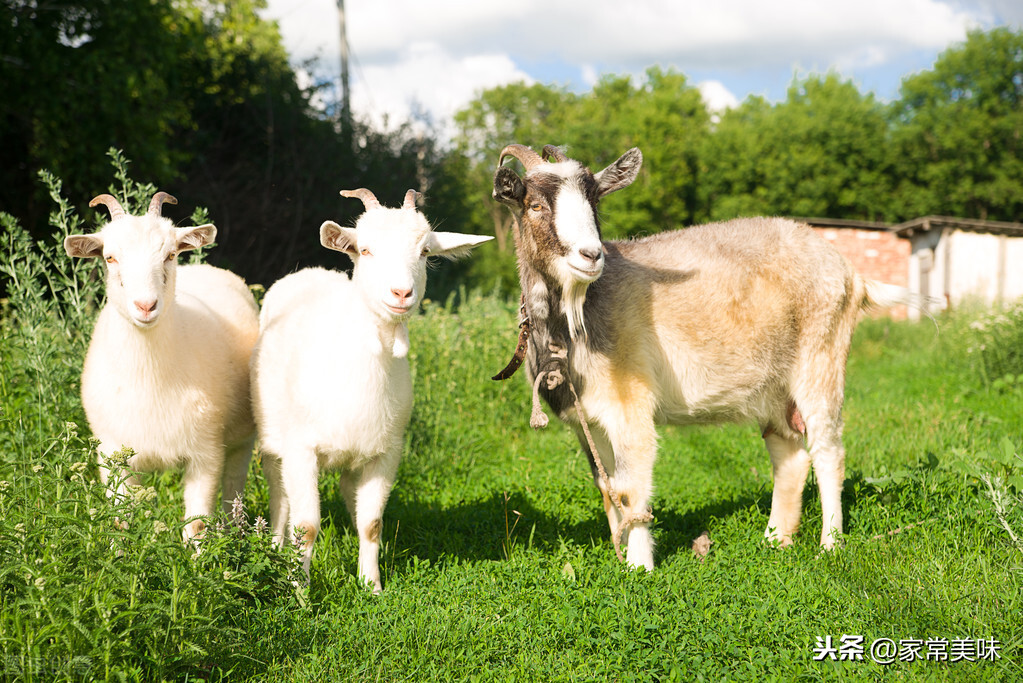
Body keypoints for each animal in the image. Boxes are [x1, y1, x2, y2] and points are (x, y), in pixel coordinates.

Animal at [64, 192, 259, 539]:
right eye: (110, 257)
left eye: (170, 254)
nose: (146, 306)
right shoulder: (112, 454)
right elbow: (119, 521)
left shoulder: (206, 452)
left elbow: (197, 524)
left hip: (242, 440)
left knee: (234, 485)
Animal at [255, 188, 495, 593]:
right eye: (365, 250)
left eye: (425, 251)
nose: (401, 293)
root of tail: (311, 271)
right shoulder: (300, 448)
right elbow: (306, 527)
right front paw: (299, 590)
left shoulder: (385, 452)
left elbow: (371, 524)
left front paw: (372, 586)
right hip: (274, 438)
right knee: (279, 496)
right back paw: (274, 545)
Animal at [488, 145, 928, 572]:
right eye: (535, 205)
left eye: (595, 200)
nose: (591, 255)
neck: (578, 315)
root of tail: (852, 274)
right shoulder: (588, 423)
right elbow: (606, 486)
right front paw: (621, 553)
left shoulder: (630, 404)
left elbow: (630, 488)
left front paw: (639, 567)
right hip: (774, 388)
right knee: (789, 454)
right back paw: (775, 539)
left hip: (821, 358)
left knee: (828, 452)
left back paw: (830, 545)